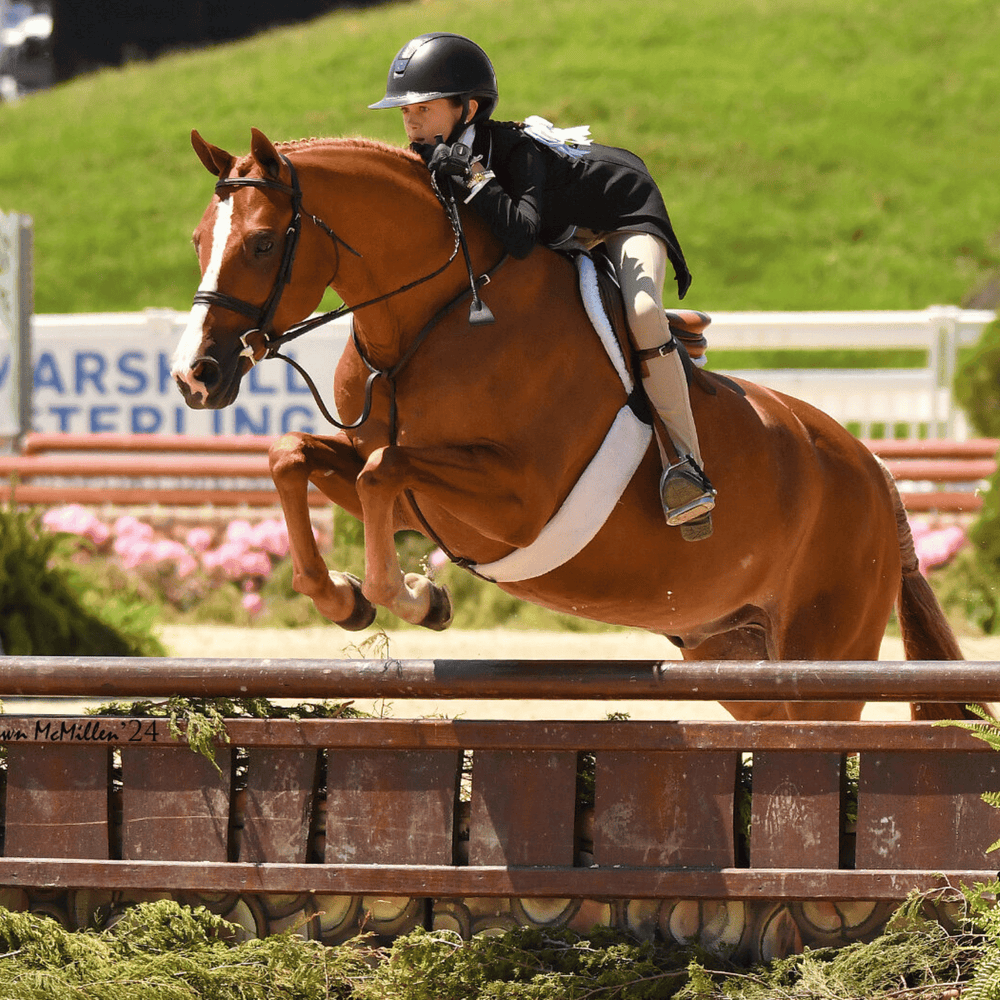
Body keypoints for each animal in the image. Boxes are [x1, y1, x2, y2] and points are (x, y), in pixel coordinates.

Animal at [171, 127, 978, 723]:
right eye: (198, 239)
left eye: (262, 244)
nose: (194, 375)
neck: (430, 321)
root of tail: (876, 475)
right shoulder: (413, 493)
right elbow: (294, 457)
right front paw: (349, 597)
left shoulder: (517, 501)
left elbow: (381, 470)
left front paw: (410, 595)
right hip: (734, 652)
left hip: (822, 658)